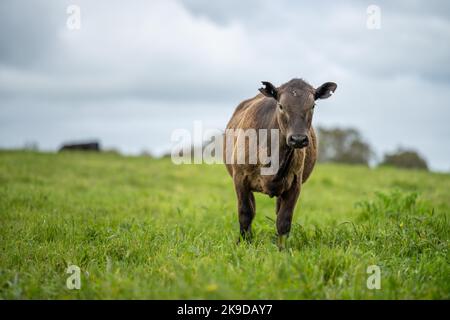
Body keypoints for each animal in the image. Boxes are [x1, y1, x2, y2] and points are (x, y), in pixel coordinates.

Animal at [223, 79, 336, 249]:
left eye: (313, 106)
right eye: (281, 106)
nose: (298, 139)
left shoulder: (295, 183)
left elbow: (284, 219)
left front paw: (281, 248)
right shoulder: (240, 178)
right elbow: (245, 212)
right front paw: (243, 244)